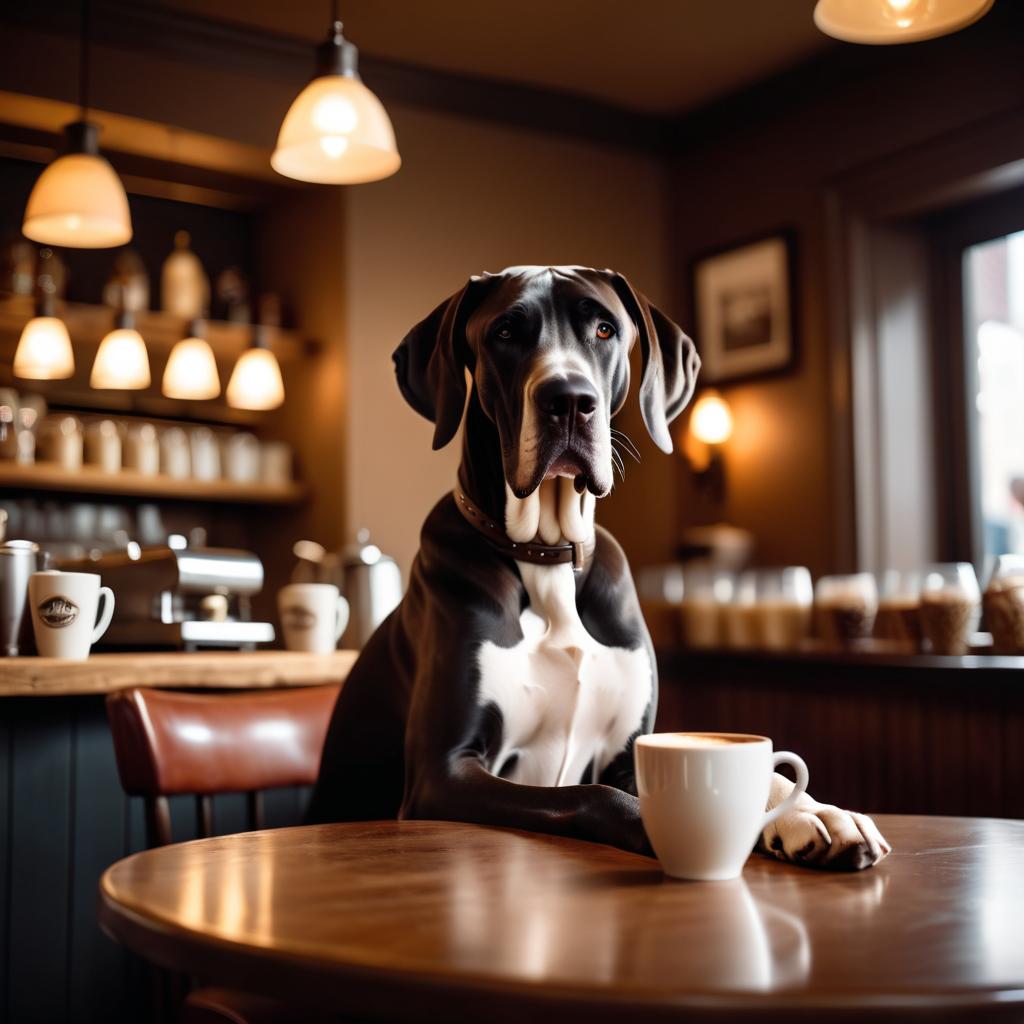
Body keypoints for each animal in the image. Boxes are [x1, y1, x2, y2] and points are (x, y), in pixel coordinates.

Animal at [307, 266, 892, 872]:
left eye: (605, 329)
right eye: (504, 332)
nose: (569, 400)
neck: (546, 555)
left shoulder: (627, 749)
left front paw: (817, 813)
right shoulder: (442, 772)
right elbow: (589, 795)